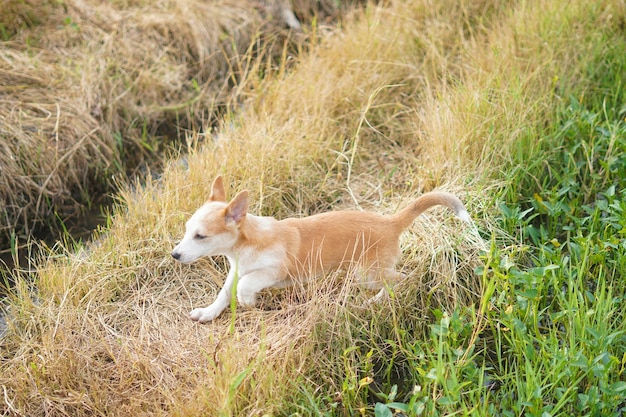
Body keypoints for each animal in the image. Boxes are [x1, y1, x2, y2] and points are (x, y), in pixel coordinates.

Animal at [171, 176, 468, 322]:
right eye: (186, 230)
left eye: (200, 236)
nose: (175, 255)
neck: (246, 245)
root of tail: (391, 222)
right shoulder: (235, 270)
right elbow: (224, 293)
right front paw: (208, 313)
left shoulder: (275, 271)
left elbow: (246, 285)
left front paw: (248, 301)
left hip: (367, 274)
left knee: (404, 279)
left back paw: (376, 301)